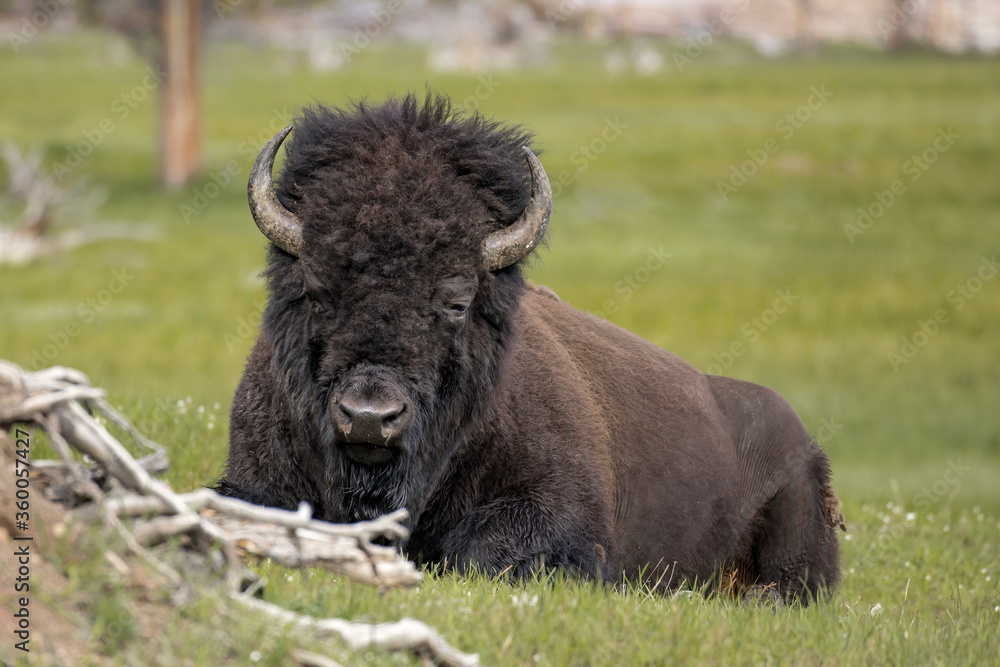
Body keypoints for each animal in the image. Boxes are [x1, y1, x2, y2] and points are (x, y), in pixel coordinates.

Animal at [216, 94, 845, 603]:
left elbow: (486, 552)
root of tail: (808, 445)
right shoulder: (253, 484)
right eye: (317, 292)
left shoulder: (557, 520)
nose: (370, 416)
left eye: (456, 300)